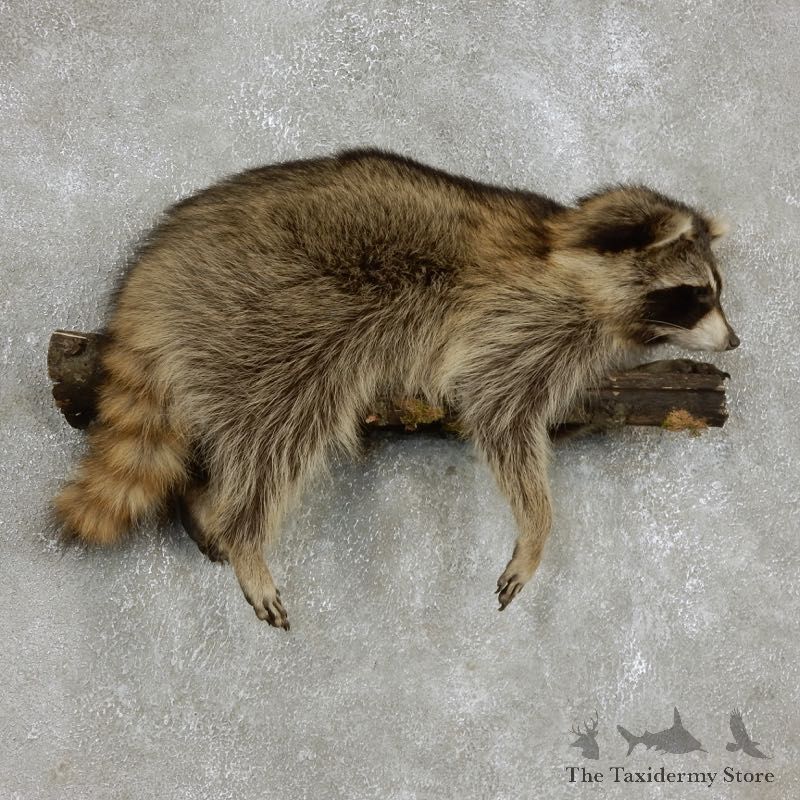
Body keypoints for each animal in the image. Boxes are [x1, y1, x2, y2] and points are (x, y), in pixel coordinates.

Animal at [54, 149, 738, 629]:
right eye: (694, 294)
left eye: (717, 290)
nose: (733, 342)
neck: (573, 261)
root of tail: (150, 280)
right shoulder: (515, 319)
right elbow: (499, 415)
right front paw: (538, 526)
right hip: (271, 315)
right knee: (280, 426)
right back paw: (243, 531)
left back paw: (206, 506)